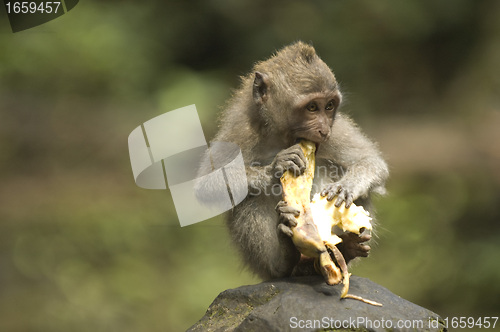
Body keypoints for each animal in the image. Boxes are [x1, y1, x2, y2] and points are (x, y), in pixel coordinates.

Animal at [197, 40, 388, 280]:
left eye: (329, 106)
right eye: (312, 107)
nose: (323, 130)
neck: (280, 136)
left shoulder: (335, 131)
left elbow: (371, 161)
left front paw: (347, 187)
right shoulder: (240, 131)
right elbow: (205, 185)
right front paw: (275, 169)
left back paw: (346, 249)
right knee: (248, 197)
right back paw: (283, 260)